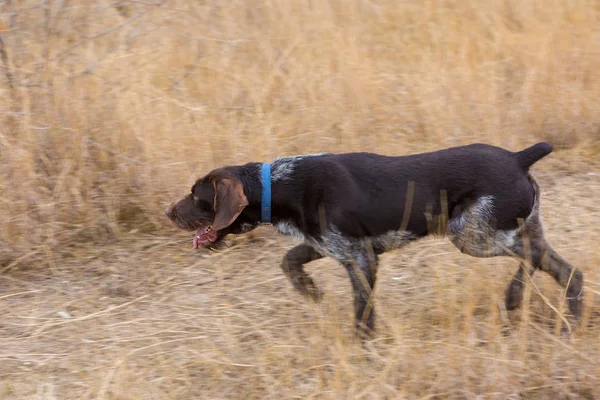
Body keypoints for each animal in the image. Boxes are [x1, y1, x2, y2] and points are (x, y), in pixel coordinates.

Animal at [165, 142, 584, 336]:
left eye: (197, 195)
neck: (281, 184)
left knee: (531, 258)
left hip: (471, 235)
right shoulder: (328, 246)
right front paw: (309, 291)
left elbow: (362, 314)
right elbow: (289, 261)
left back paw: (515, 296)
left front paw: (363, 349)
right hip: (507, 230)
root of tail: (517, 157)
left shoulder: (362, 258)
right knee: (567, 271)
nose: (168, 212)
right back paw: (572, 321)